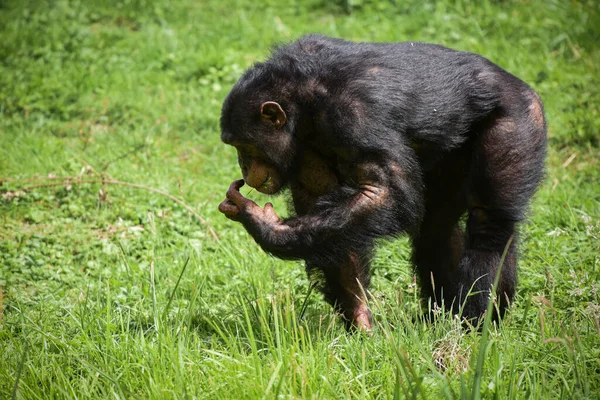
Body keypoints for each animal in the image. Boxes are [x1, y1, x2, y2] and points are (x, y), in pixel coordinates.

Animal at [218, 34, 548, 330]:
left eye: (245, 146)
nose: (243, 165)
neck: (303, 103)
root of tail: (519, 83)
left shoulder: (353, 115)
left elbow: (384, 192)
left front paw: (261, 221)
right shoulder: (308, 156)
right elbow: (335, 228)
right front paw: (360, 320)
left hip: (516, 121)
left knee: (489, 226)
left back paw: (476, 323)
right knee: (436, 227)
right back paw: (444, 317)